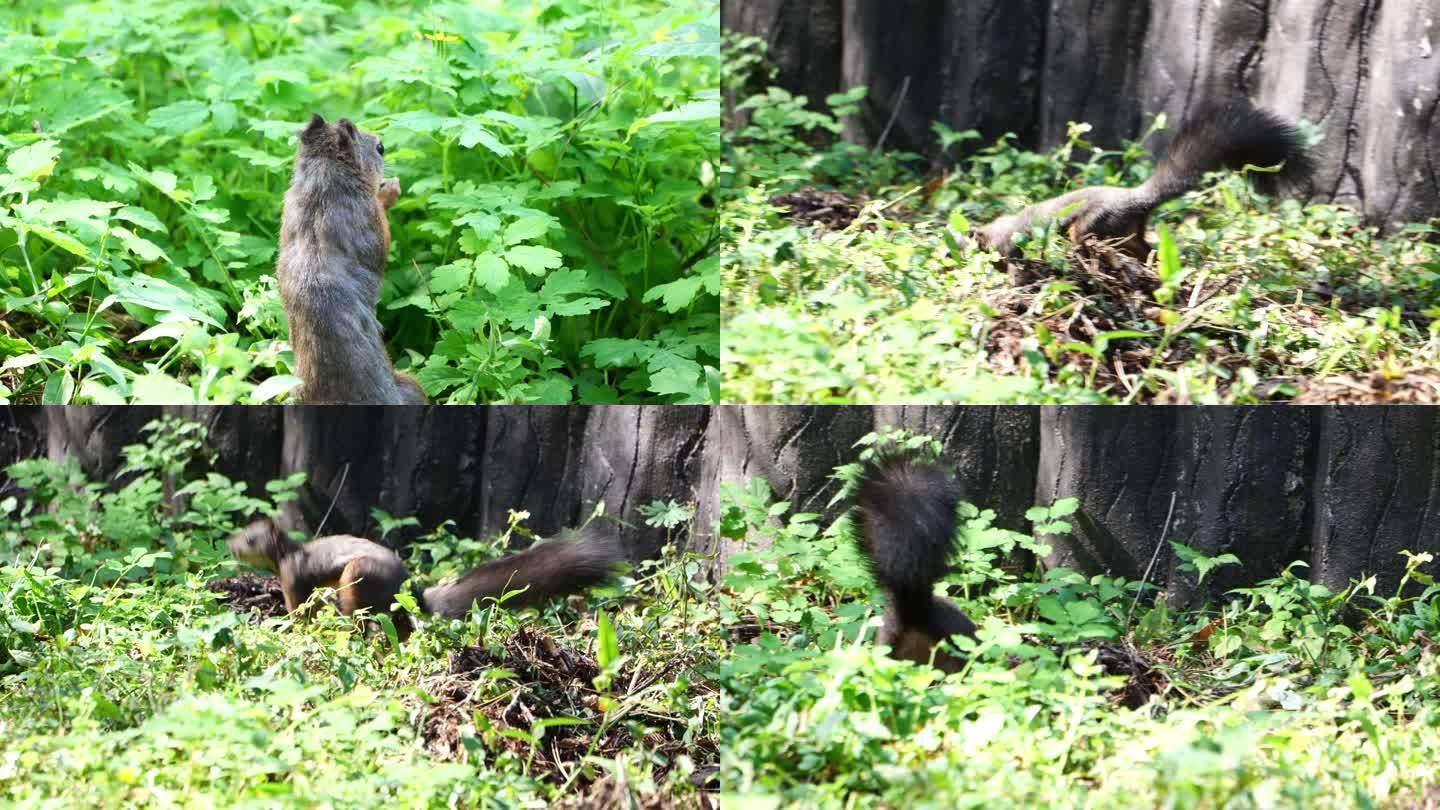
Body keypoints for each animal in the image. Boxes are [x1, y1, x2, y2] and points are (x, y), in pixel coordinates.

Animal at [226, 515, 624, 631]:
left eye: (250, 539)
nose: (229, 545)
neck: (286, 554)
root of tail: (412, 591)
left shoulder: (294, 579)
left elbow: (299, 612)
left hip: (355, 578)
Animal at [272, 113, 423, 403]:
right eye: (379, 148)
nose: (381, 142)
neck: (323, 178)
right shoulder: (368, 216)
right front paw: (389, 191)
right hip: (411, 387)